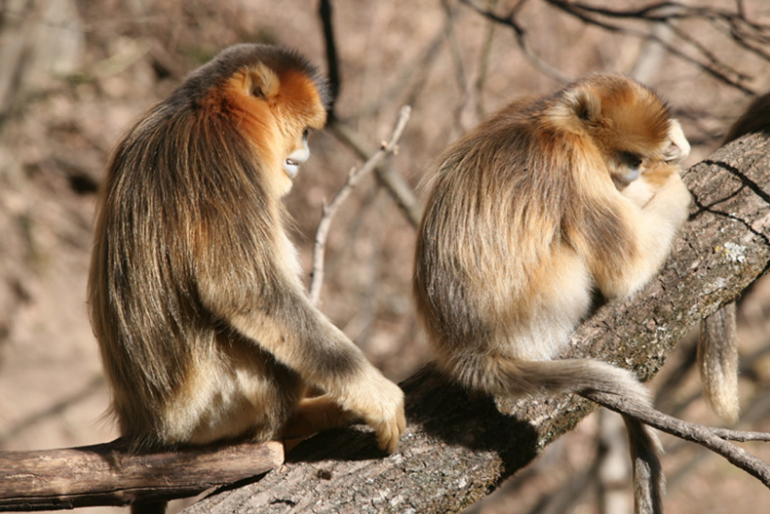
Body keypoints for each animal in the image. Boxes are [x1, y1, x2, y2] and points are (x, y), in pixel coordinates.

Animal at [87, 44, 405, 512]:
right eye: (305, 132)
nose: (303, 158)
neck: (205, 108)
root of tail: (150, 431)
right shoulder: (222, 153)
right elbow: (247, 293)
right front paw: (376, 395)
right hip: (215, 407)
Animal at [413, 73, 691, 514]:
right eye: (630, 157)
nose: (634, 173)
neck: (552, 118)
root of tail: (466, 350)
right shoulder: (574, 161)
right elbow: (628, 269)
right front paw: (675, 181)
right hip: (544, 303)